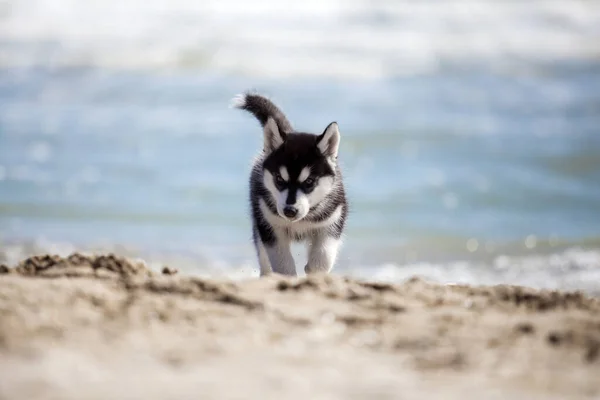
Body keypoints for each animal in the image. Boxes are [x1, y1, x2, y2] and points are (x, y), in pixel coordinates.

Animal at [232, 92, 350, 276]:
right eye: (279, 179)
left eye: (309, 181)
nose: (290, 211)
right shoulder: (270, 226)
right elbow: (283, 265)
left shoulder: (331, 222)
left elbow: (322, 259)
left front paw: (314, 272)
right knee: (264, 260)